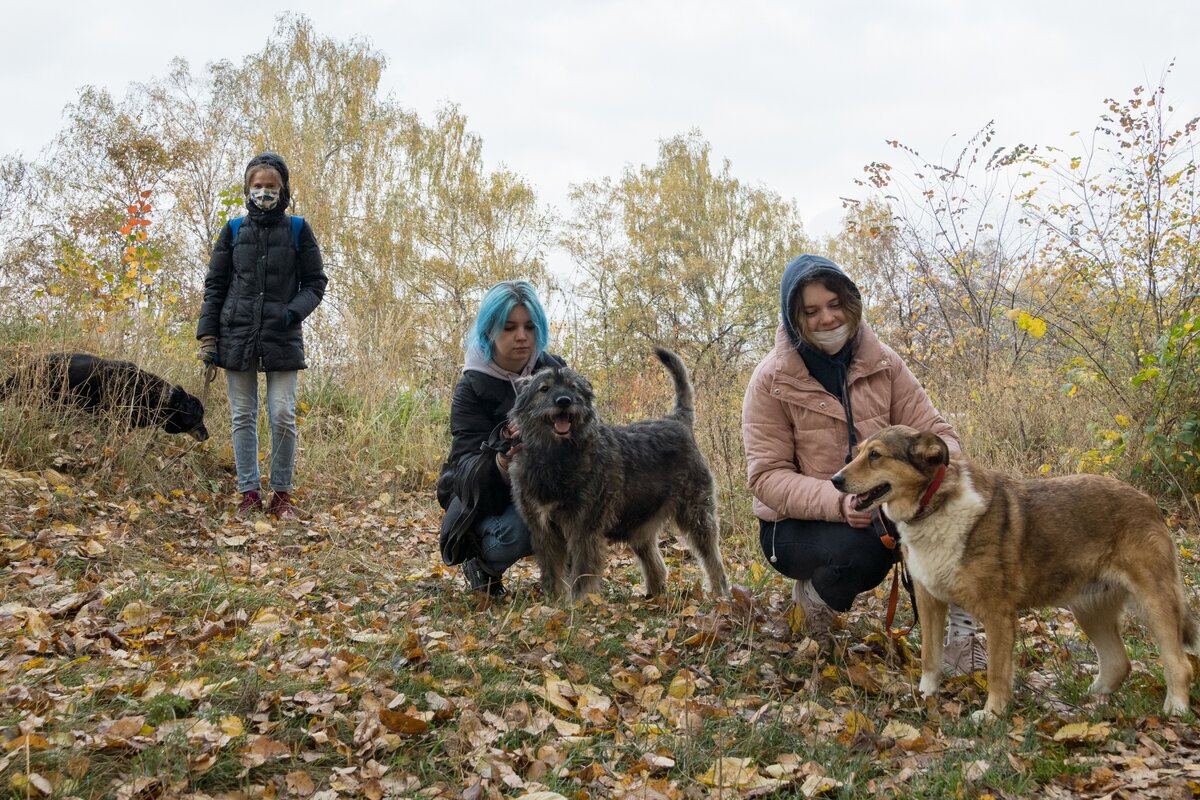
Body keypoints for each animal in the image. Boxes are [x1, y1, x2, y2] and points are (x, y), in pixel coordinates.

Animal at [508, 347, 729, 604]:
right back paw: (654, 596)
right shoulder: (544, 531)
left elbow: (582, 571)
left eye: (573, 388)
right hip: (642, 524)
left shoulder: (584, 529)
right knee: (656, 564)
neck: (557, 456)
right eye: (544, 388)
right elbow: (552, 572)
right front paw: (554, 603)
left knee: (712, 557)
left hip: (697, 514)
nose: (564, 401)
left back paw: (719, 593)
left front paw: (577, 603)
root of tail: (677, 420)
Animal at [830, 424, 1195, 719]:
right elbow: (930, 658)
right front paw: (925, 696)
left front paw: (993, 713)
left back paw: (1176, 707)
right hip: (1090, 608)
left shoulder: (998, 615)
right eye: (859, 452)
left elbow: (996, 672)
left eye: (875, 455)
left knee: (1179, 662)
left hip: (1154, 601)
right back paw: (1085, 700)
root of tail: (1147, 501)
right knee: (1119, 663)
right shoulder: (930, 602)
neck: (934, 506)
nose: (835, 480)